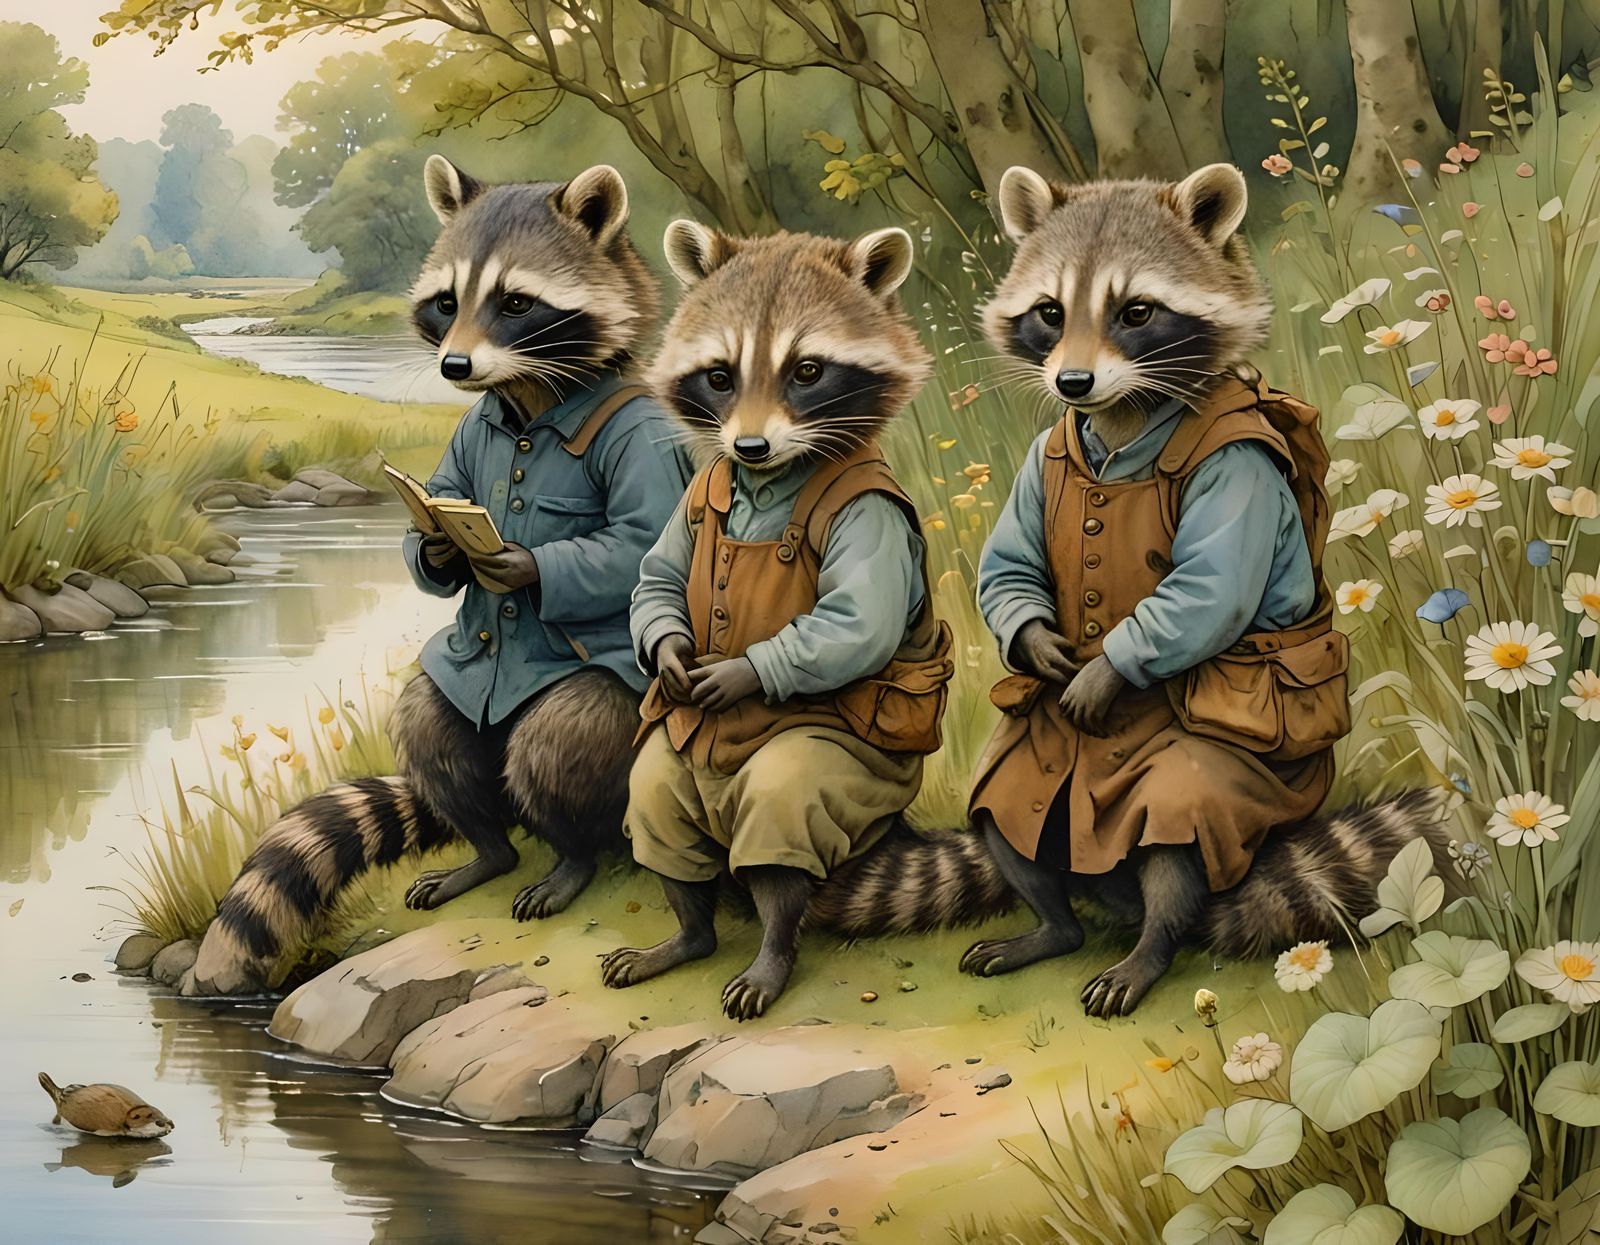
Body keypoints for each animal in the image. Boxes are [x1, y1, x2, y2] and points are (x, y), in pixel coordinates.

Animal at [184, 160, 686, 997]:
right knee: (429, 723)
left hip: (614, 720)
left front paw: (518, 561)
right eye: (448, 299)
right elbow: (444, 504)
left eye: (516, 302)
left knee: (558, 743)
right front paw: (440, 546)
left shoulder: (647, 435)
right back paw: (489, 849)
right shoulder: (467, 436)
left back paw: (571, 854)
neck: (530, 403)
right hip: (462, 716)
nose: (455, 365)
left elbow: (638, 541)